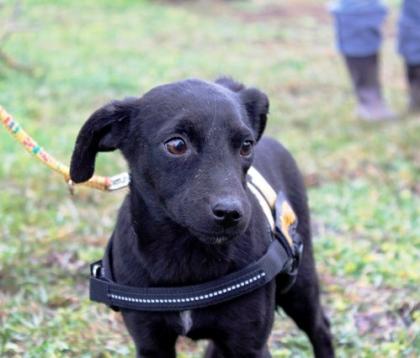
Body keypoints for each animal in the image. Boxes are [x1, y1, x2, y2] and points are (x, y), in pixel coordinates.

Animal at [71, 79, 334, 358]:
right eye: (176, 145)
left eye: (246, 145)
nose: (231, 213)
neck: (185, 254)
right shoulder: (151, 343)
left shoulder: (250, 344)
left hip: (300, 285)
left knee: (321, 328)